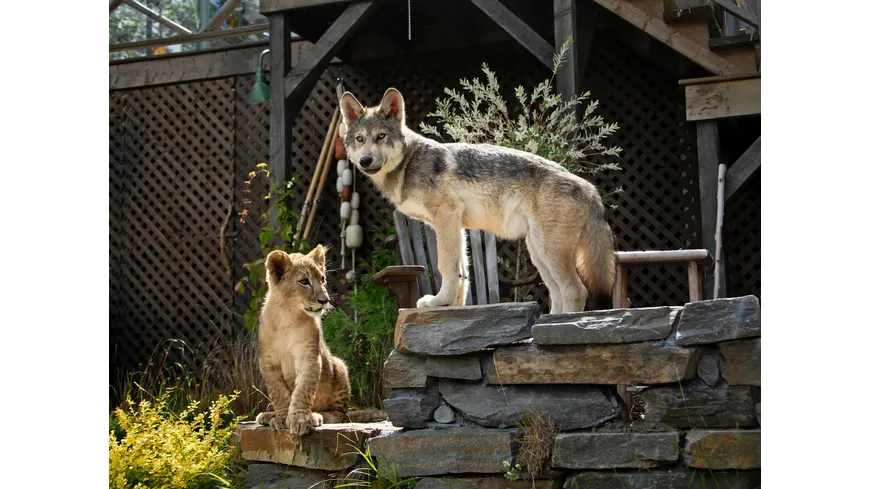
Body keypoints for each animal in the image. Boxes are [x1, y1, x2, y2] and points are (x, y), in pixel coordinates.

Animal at [254, 245, 351, 435]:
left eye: (322, 279)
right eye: (304, 282)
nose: (324, 300)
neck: (287, 315)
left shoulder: (309, 355)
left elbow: (303, 389)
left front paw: (300, 420)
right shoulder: (267, 361)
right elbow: (279, 393)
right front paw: (282, 418)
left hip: (339, 366)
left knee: (339, 414)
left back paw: (317, 415)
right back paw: (268, 415)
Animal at [339, 88, 616, 313]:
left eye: (381, 136)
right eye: (360, 139)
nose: (365, 161)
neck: (409, 164)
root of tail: (591, 188)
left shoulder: (446, 218)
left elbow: (446, 266)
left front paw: (438, 302)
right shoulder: (456, 226)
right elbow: (462, 272)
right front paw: (453, 307)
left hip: (548, 251)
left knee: (575, 290)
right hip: (539, 252)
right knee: (557, 293)